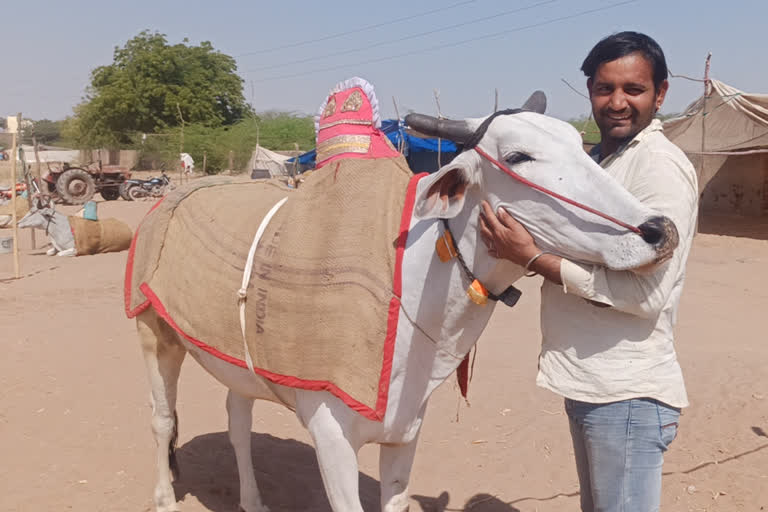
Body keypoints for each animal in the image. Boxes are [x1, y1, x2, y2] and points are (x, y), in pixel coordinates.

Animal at [136, 93, 680, 512]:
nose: (659, 230)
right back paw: (163, 499)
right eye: (519, 156)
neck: (410, 284)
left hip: (238, 363)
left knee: (238, 420)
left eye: (578, 144)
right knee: (162, 419)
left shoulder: (405, 433)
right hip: (153, 333)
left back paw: (252, 501)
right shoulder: (330, 436)